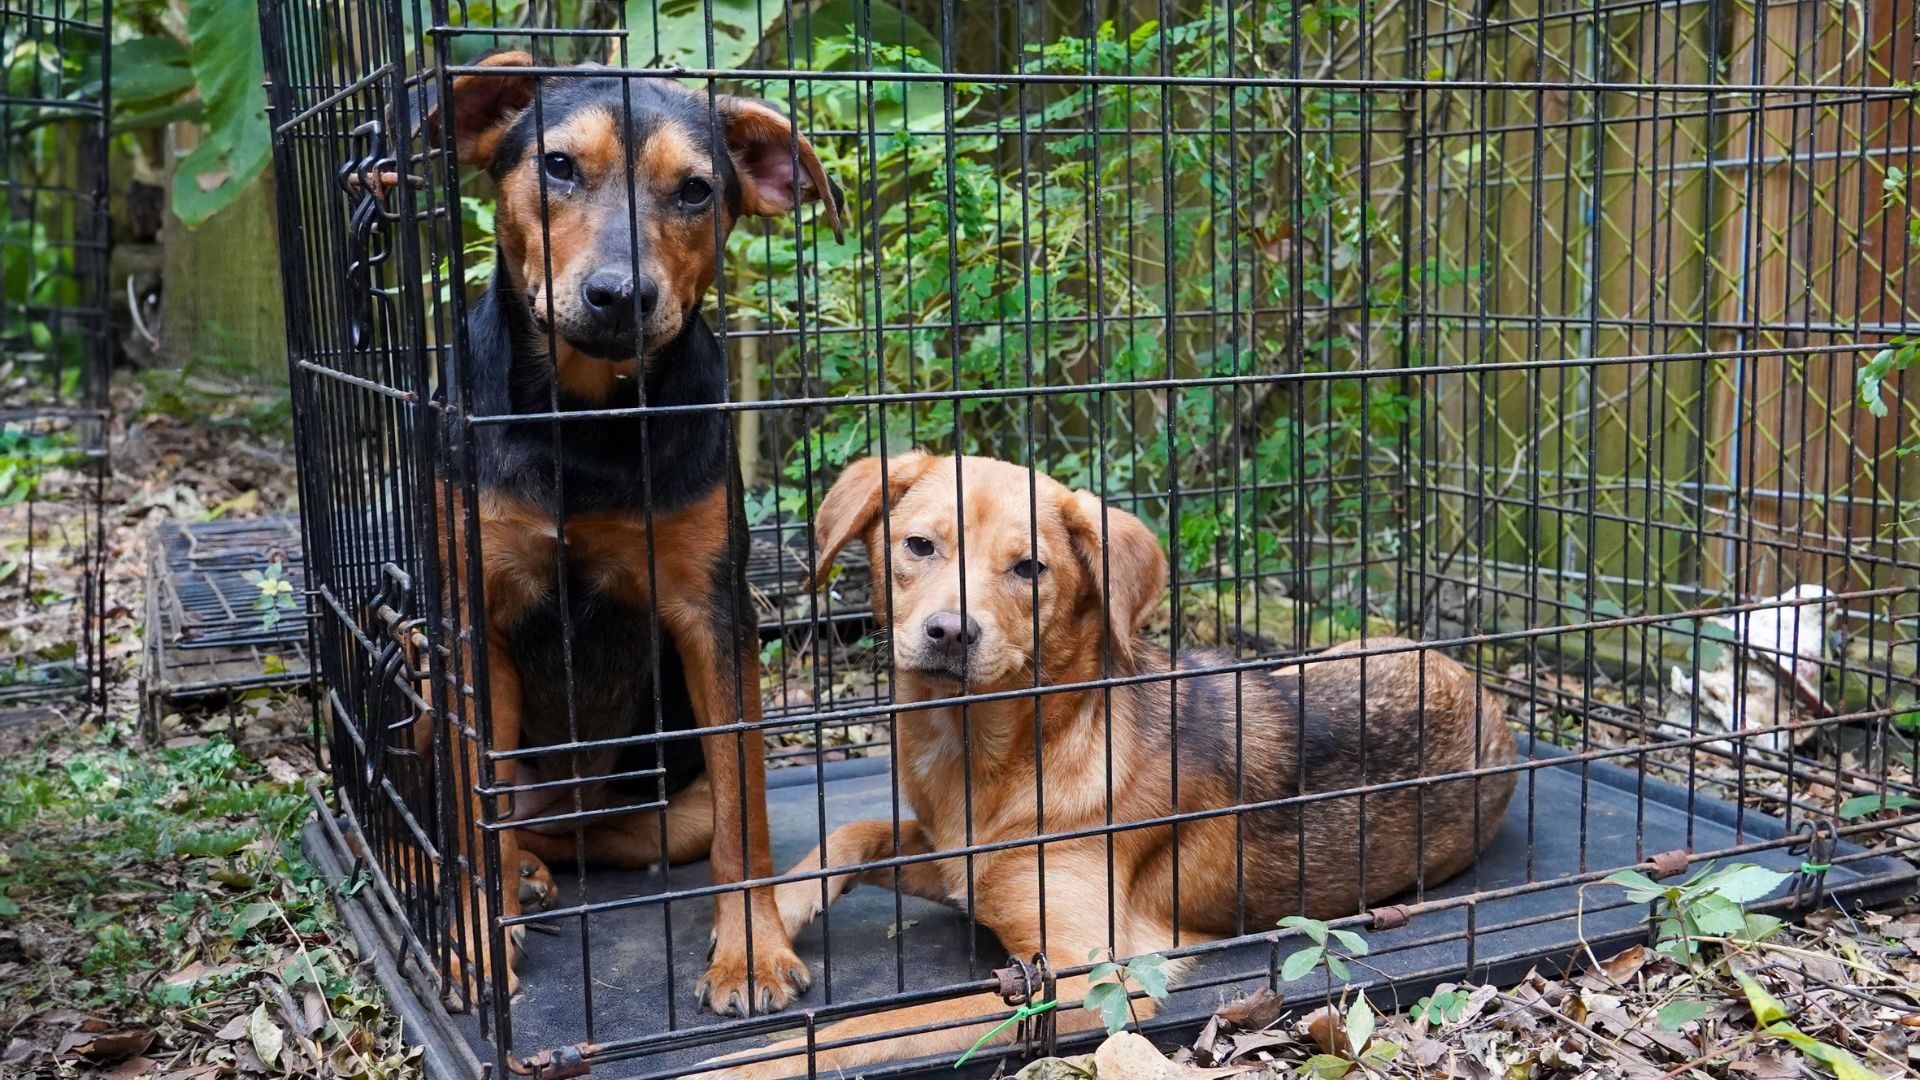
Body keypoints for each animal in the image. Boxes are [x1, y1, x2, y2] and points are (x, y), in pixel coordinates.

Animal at [435, 50, 848, 1006]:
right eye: (557, 166)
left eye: (695, 190)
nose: (620, 296)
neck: (586, 420)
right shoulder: (475, 618)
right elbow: (470, 820)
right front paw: (474, 941)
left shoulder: (713, 613)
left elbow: (745, 816)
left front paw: (752, 951)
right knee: (467, 821)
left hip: (656, 809)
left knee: (581, 836)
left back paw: (537, 871)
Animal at [691, 447, 1512, 1076]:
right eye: (919, 546)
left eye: (1030, 568)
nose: (950, 631)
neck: (993, 755)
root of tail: (1483, 690)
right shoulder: (960, 866)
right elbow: (853, 833)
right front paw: (759, 933)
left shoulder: (1089, 976)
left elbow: (860, 1032)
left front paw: (736, 1061)